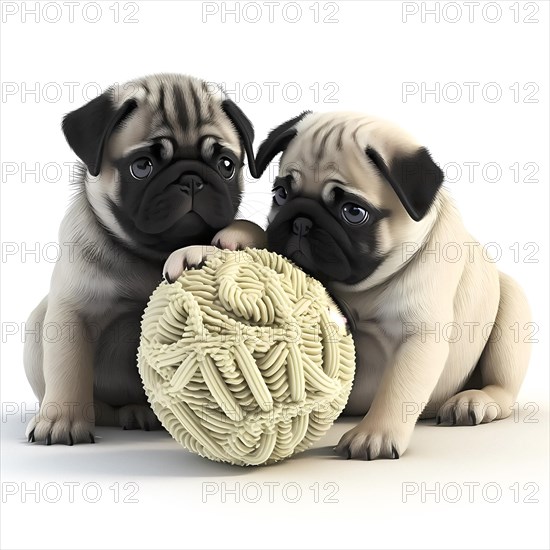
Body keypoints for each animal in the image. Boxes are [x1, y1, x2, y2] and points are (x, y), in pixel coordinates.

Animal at [24, 73, 268, 446]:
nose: (191, 179)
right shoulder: (73, 313)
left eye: (226, 165)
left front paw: (226, 239)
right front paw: (62, 420)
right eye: (142, 167)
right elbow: (68, 368)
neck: (151, 254)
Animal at [256, 111, 536, 462]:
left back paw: (474, 401)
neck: (361, 291)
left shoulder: (420, 337)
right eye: (280, 194)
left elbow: (398, 388)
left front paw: (374, 434)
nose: (301, 221)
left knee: (502, 385)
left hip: (511, 311)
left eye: (353, 212)